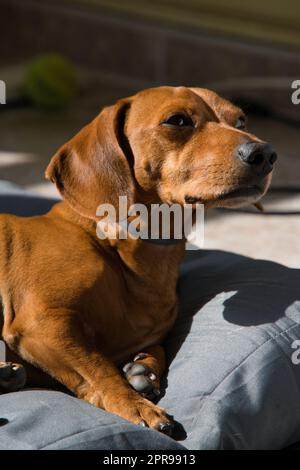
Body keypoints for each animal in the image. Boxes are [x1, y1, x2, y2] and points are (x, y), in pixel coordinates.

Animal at [0, 86, 276, 436]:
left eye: (240, 121)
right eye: (177, 120)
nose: (265, 153)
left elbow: (152, 349)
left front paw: (144, 369)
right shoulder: (41, 324)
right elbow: (100, 371)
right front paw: (137, 406)